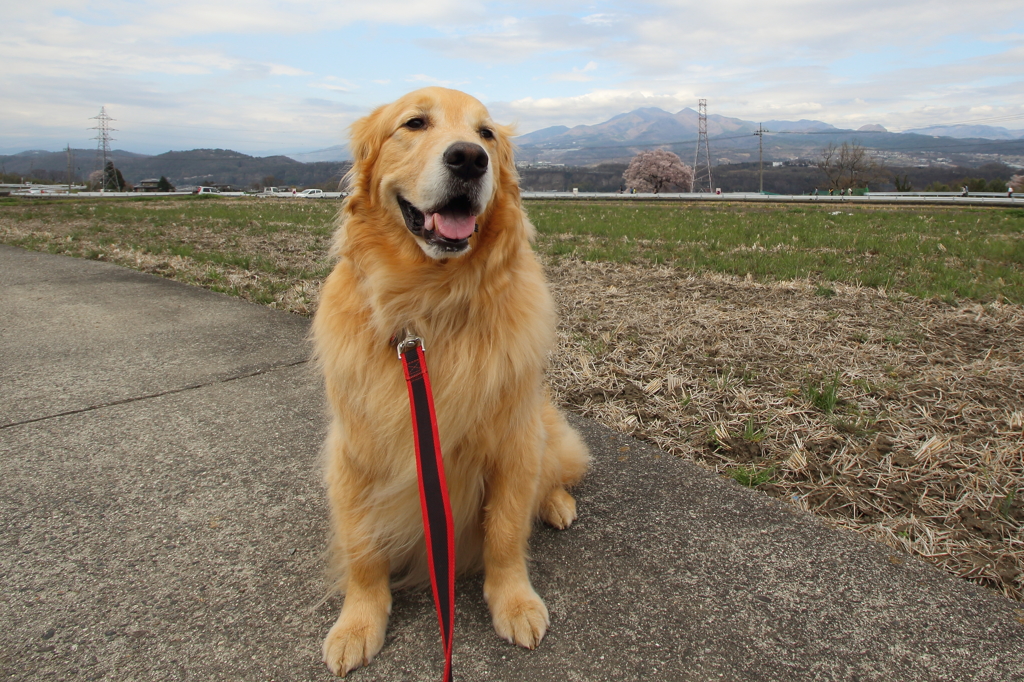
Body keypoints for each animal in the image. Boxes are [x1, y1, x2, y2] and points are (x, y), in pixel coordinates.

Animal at [307, 86, 589, 675]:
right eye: (414, 123)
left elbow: (505, 532)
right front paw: (357, 622)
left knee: (553, 473)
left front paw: (514, 602)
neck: (428, 305)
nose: (468, 158)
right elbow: (361, 549)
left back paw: (555, 504)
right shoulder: (353, 451)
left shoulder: (512, 441)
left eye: (486, 134)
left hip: (542, 426)